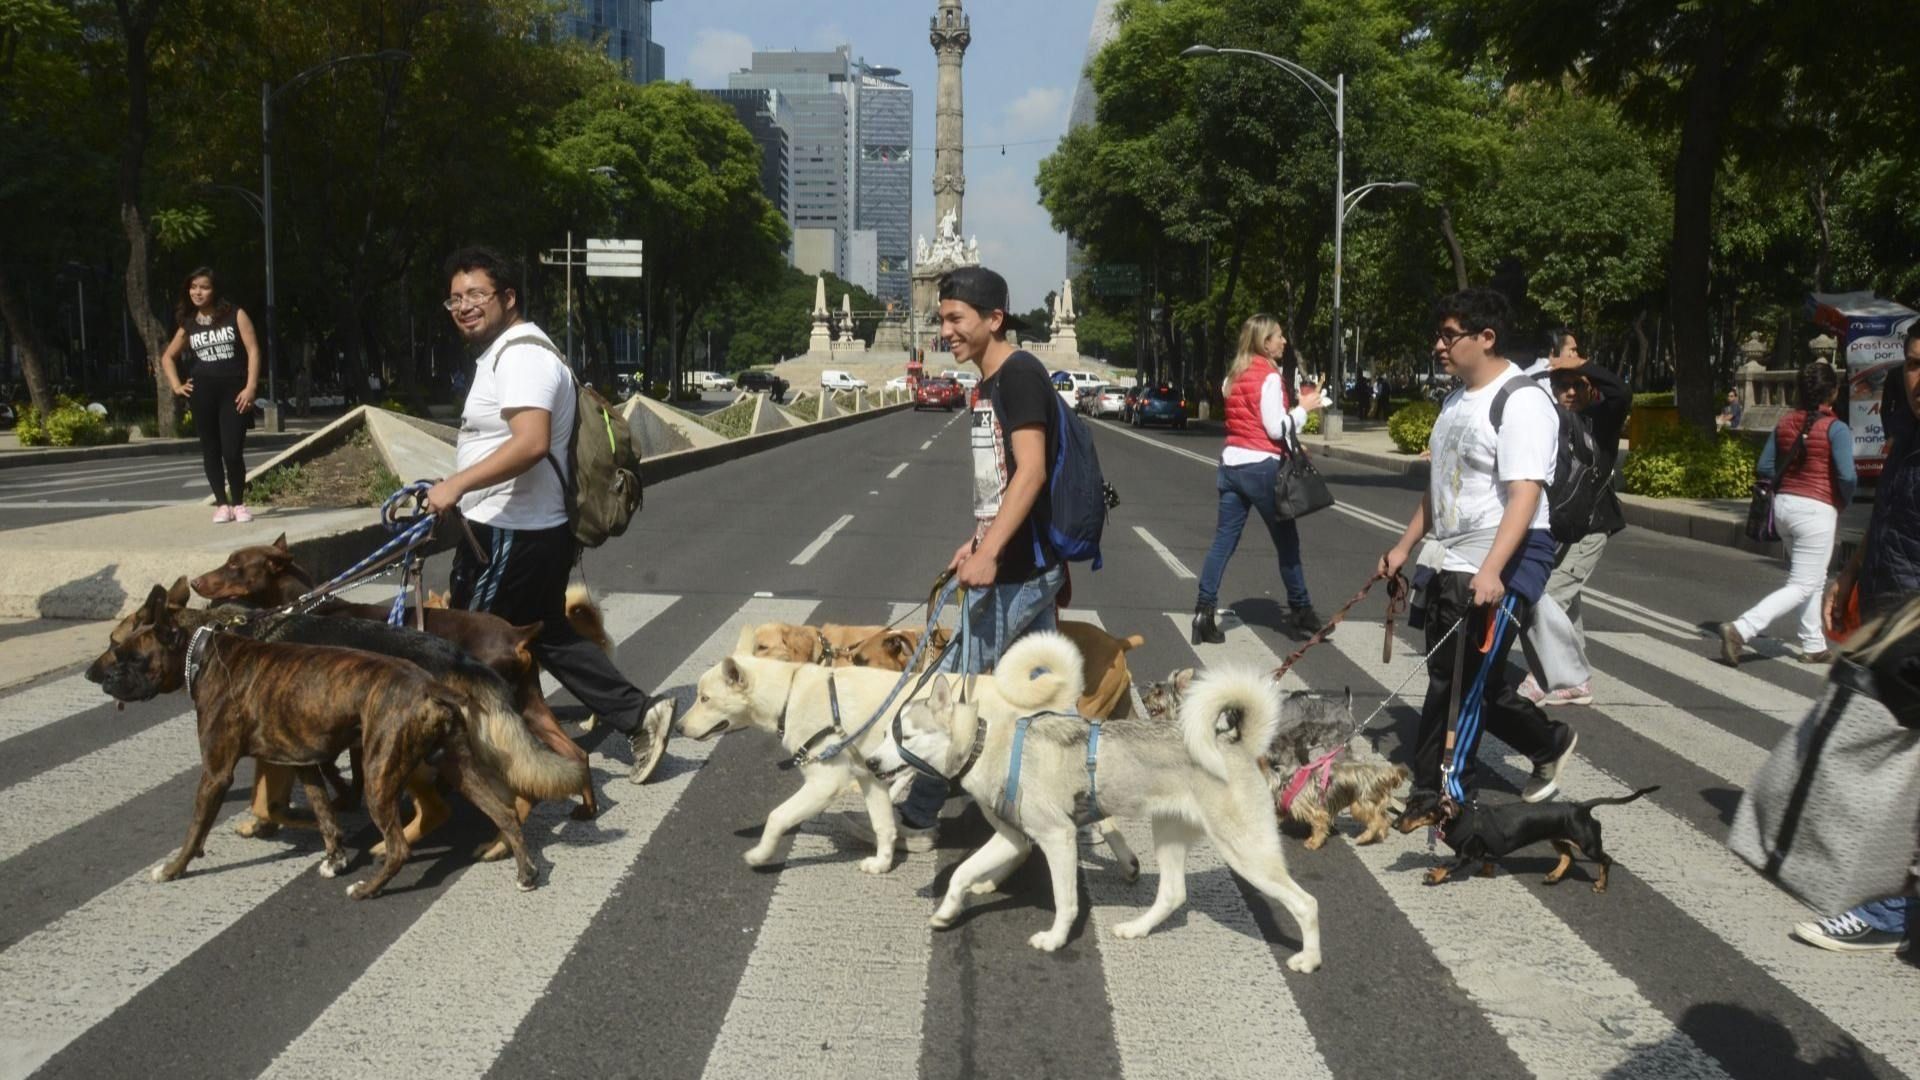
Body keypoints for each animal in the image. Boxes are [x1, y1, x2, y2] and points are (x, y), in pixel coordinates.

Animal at [87, 584, 541, 895]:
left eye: (120, 649)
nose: (94, 676)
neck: (205, 644)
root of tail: (452, 667)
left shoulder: (219, 770)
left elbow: (215, 820)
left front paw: (177, 867)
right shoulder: (298, 757)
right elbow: (314, 805)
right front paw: (330, 844)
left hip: (391, 766)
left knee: (430, 817)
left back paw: (381, 870)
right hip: (455, 758)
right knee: (503, 805)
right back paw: (510, 856)